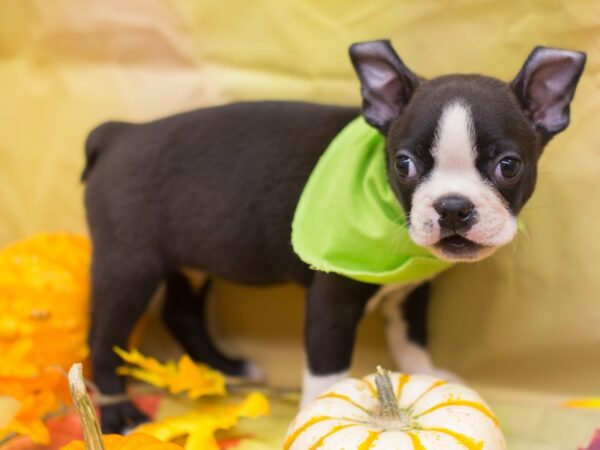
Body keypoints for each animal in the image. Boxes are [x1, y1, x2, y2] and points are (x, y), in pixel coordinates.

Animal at [82, 40, 584, 430]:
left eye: (508, 166)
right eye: (404, 164)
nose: (453, 206)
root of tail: (120, 134)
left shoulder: (411, 292)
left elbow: (411, 339)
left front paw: (429, 378)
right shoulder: (332, 300)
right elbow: (328, 370)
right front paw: (315, 412)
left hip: (188, 259)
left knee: (181, 313)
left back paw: (229, 369)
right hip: (129, 266)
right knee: (102, 337)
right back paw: (117, 414)